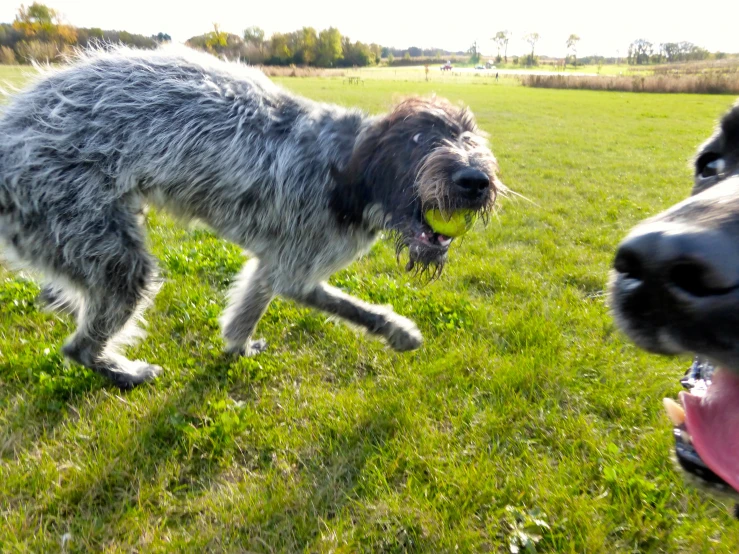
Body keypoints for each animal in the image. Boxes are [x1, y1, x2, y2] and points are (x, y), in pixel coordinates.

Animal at [0, 47, 502, 386]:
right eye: (420, 139)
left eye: (469, 137)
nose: (476, 181)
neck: (349, 173)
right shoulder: (297, 271)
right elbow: (352, 307)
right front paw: (399, 332)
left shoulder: (274, 265)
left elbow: (248, 308)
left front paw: (237, 347)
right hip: (106, 250)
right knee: (79, 346)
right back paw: (125, 372)